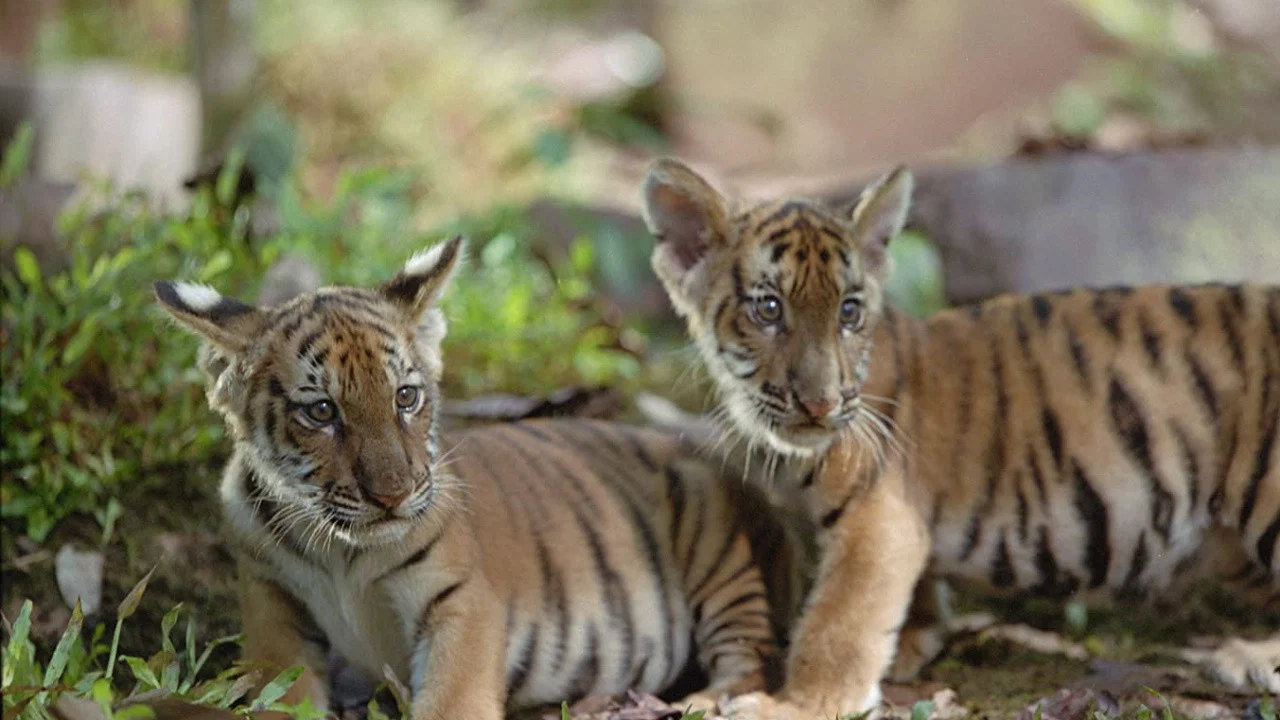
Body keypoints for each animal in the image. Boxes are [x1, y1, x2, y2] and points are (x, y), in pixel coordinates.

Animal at [152, 236, 784, 720]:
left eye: (405, 397)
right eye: (322, 412)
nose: (393, 495)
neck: (343, 555)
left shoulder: (461, 603)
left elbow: (450, 700)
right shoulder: (271, 602)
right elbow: (284, 696)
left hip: (715, 553)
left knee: (749, 654)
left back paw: (710, 701)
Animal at [638, 156, 1280, 718]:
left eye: (848, 312)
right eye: (768, 309)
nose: (821, 403)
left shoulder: (878, 515)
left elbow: (838, 620)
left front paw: (797, 705)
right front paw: (912, 642)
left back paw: (1244, 658)